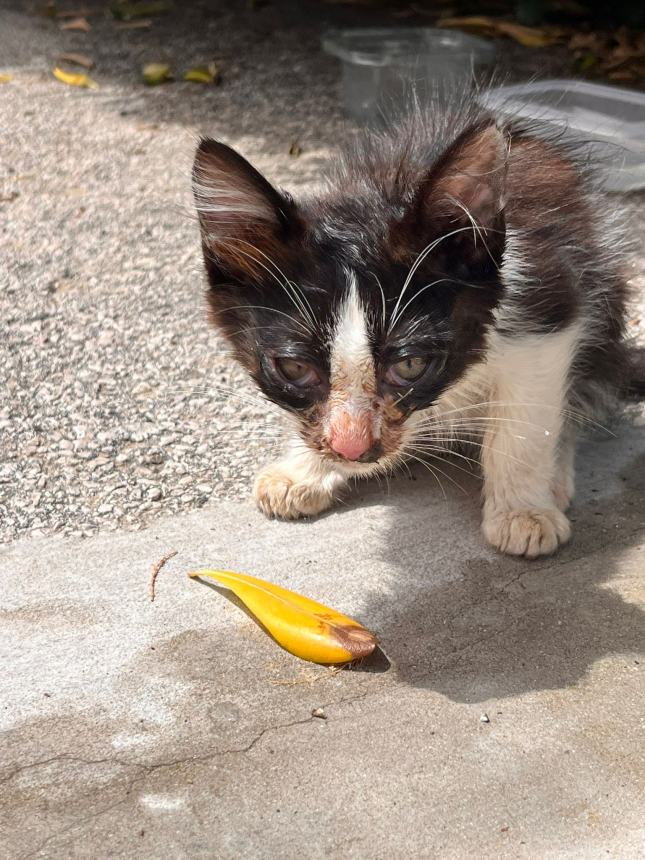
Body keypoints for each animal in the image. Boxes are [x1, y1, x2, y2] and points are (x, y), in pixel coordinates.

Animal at [191, 97, 632, 560]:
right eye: (293, 368)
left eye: (411, 365)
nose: (352, 448)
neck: (380, 189)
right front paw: (302, 470)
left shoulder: (547, 300)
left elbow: (524, 423)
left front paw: (522, 510)